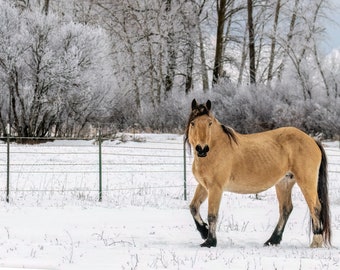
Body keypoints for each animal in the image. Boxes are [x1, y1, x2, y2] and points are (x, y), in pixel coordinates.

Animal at [185, 99, 330, 249]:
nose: (202, 149)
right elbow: (193, 207)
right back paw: (273, 240)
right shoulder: (204, 186)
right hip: (284, 183)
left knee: (315, 207)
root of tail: (312, 140)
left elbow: (212, 215)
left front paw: (210, 242)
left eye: (209, 123)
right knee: (286, 209)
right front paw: (204, 231)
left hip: (306, 181)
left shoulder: (216, 188)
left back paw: (316, 242)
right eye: (193, 123)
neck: (216, 149)